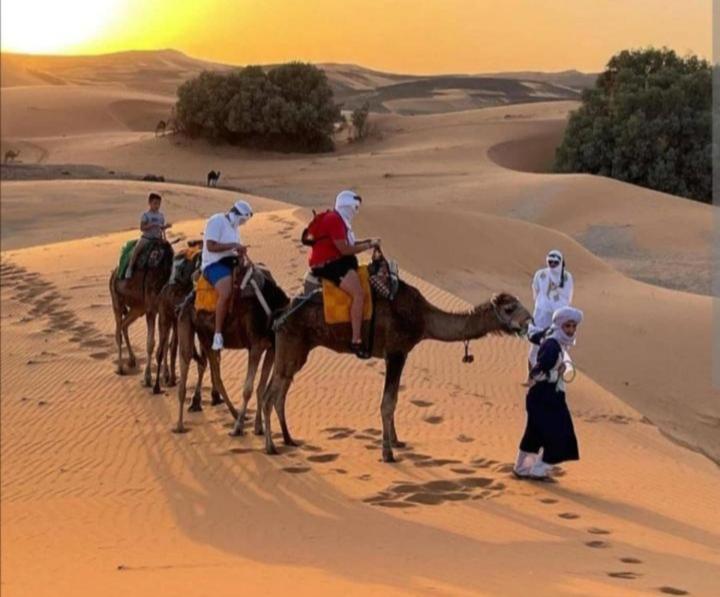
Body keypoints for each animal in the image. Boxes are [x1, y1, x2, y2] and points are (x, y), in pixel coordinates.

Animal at [109, 240, 174, 384]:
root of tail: (114, 273)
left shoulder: (164, 311)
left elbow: (165, 343)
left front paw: (166, 376)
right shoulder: (151, 309)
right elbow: (150, 343)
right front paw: (148, 377)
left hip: (137, 308)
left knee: (124, 325)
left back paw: (132, 360)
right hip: (116, 301)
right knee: (118, 330)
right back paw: (120, 368)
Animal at [174, 260, 290, 434]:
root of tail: (188, 297)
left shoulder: (270, 347)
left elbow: (261, 388)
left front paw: (258, 427)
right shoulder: (256, 346)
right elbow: (248, 389)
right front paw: (238, 428)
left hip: (206, 338)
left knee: (214, 374)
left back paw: (235, 414)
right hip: (187, 324)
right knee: (185, 367)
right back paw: (180, 425)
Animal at [262, 284, 532, 460]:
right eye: (510, 308)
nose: (528, 320)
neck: (423, 318)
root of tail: (280, 314)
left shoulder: (397, 354)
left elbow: (394, 399)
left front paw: (396, 441)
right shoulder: (396, 352)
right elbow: (388, 402)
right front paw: (388, 452)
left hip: (296, 349)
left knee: (279, 391)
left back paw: (288, 439)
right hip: (292, 343)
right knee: (270, 394)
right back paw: (271, 447)